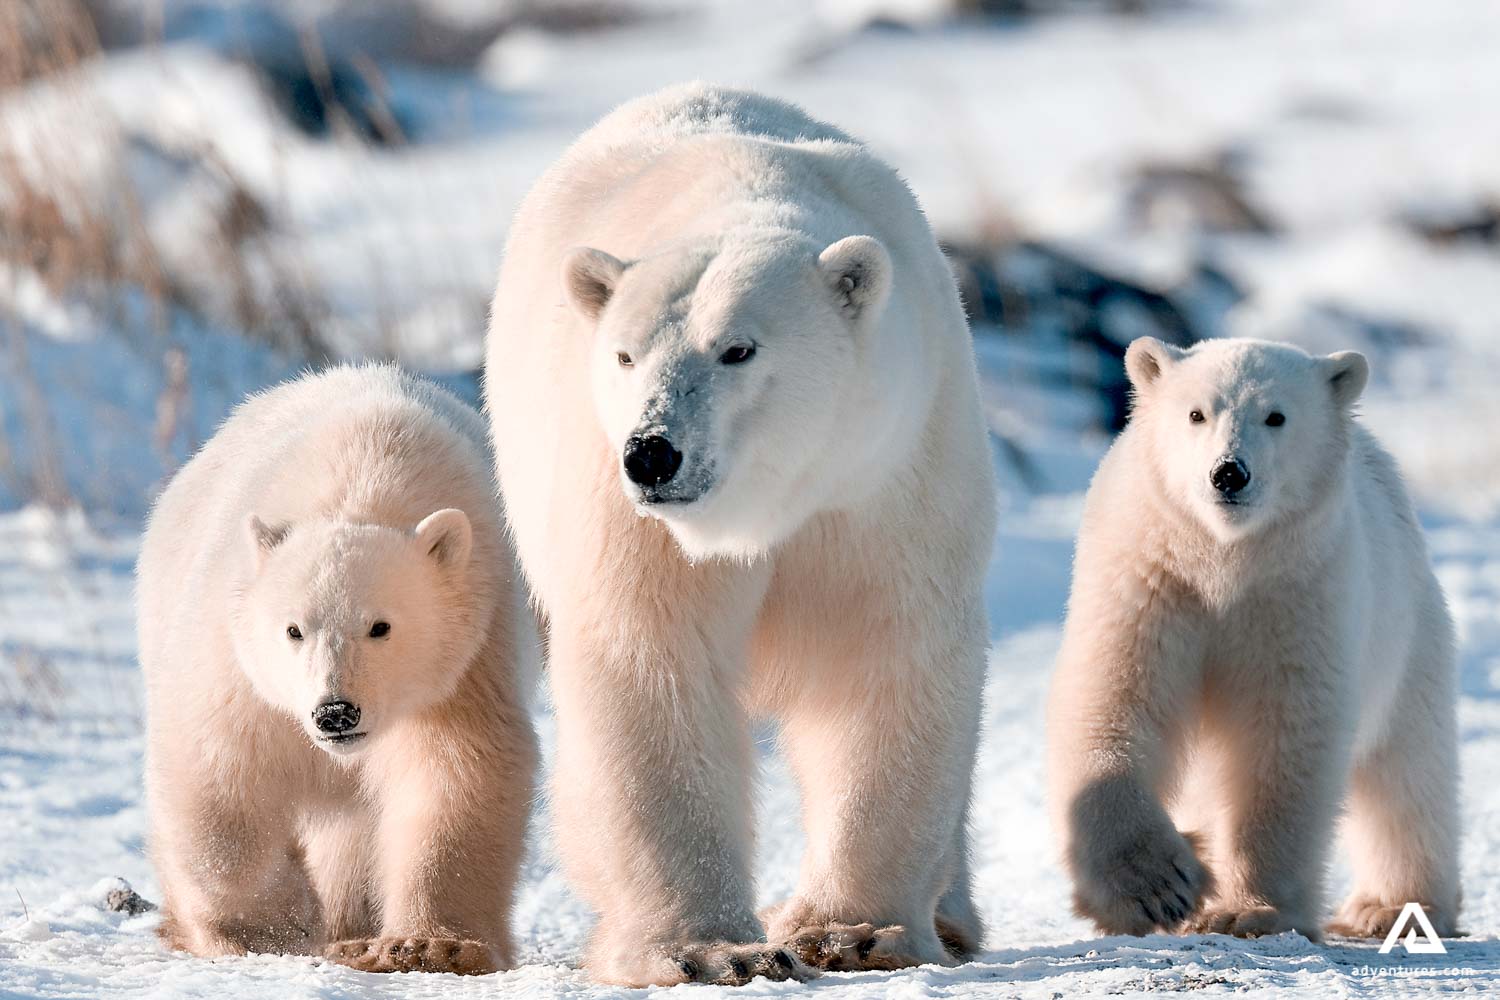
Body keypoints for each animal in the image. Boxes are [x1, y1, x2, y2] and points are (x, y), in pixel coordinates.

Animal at [137, 365, 538, 974]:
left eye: (381, 626)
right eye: (293, 629)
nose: (335, 713)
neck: (365, 476)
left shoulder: (467, 660)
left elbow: (457, 772)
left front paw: (431, 945)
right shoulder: (238, 659)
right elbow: (219, 764)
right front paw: (266, 926)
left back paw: (353, 932)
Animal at [484, 83, 997, 986]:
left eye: (737, 349)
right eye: (624, 354)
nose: (652, 452)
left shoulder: (884, 482)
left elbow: (885, 654)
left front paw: (851, 933)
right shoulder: (627, 518)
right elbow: (653, 662)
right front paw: (710, 950)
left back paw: (952, 917)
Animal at [1047, 336, 1460, 943]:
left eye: (1276, 416)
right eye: (1196, 413)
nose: (1228, 474)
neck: (1222, 558)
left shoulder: (1296, 592)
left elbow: (1282, 736)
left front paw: (1250, 910)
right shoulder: (1150, 580)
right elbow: (1117, 699)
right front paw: (1158, 888)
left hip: (1408, 635)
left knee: (1407, 771)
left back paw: (1394, 907)